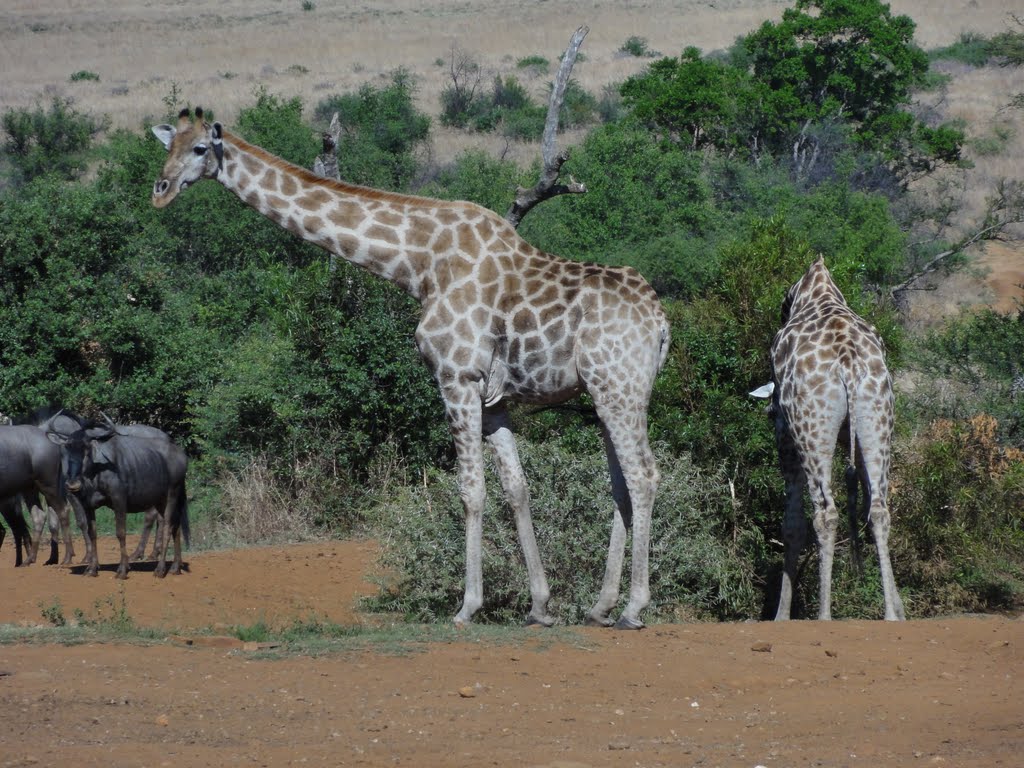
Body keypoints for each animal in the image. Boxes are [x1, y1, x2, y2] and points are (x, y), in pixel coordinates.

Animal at [148, 108, 667, 630]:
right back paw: (601, 607)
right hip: (604, 392)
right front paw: (540, 606)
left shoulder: (456, 377)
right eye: (167, 146)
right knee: (620, 484)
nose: (161, 189)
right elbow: (516, 488)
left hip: (619, 387)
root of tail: (660, 322)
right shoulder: (493, 397)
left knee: (644, 475)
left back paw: (634, 608)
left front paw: (467, 606)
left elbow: (471, 490)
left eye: (199, 149)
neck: (418, 265)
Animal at [753, 256, 905, 622]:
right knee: (879, 509)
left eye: (772, 411)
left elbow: (791, 524)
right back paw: (891, 616)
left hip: (810, 424)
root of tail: (847, 361)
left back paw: (824, 615)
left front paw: (781, 616)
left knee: (824, 513)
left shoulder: (785, 433)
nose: (767, 410)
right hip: (878, 414)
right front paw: (900, 606)